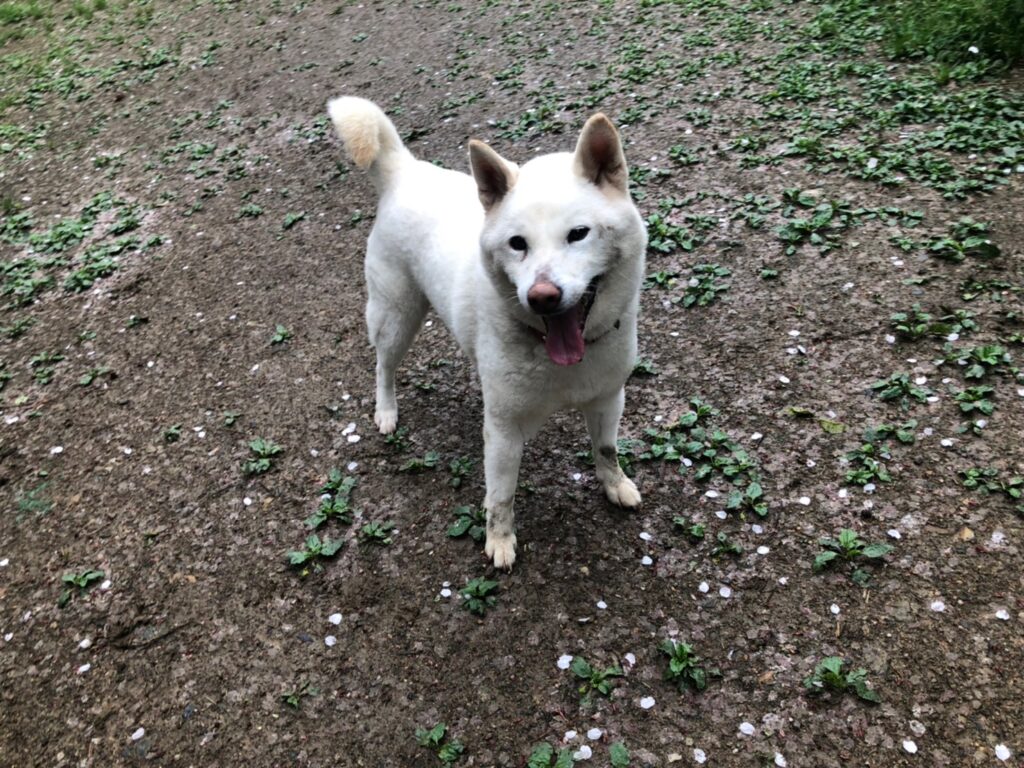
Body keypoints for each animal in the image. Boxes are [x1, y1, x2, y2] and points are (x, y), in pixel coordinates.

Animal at [327, 96, 647, 568]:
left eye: (579, 234)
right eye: (518, 243)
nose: (543, 296)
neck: (557, 354)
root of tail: (406, 171)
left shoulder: (608, 399)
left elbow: (606, 452)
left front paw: (615, 484)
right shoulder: (503, 431)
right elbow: (501, 497)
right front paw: (499, 540)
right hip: (396, 316)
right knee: (384, 365)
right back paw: (386, 410)